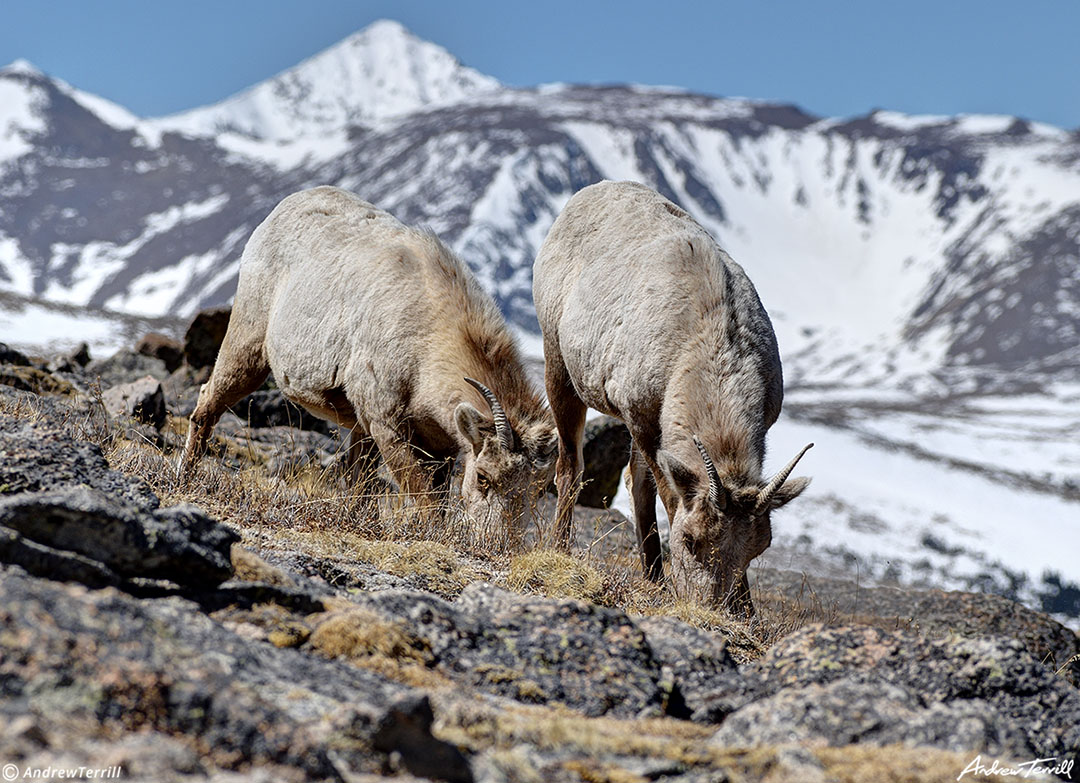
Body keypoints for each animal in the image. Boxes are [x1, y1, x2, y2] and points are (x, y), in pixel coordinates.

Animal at [182, 183, 557, 529]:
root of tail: (282, 209)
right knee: (209, 400)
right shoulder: (386, 424)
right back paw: (185, 476)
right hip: (248, 344)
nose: (496, 544)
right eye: (483, 477)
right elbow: (421, 493)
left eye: (537, 490)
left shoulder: (437, 445)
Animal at [531, 180, 812, 613]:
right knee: (570, 464)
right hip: (558, 365)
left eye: (759, 548)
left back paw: (652, 575)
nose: (708, 607)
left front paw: (746, 609)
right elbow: (668, 496)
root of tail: (583, 195)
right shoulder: (643, 420)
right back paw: (563, 548)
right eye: (690, 540)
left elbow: (645, 488)